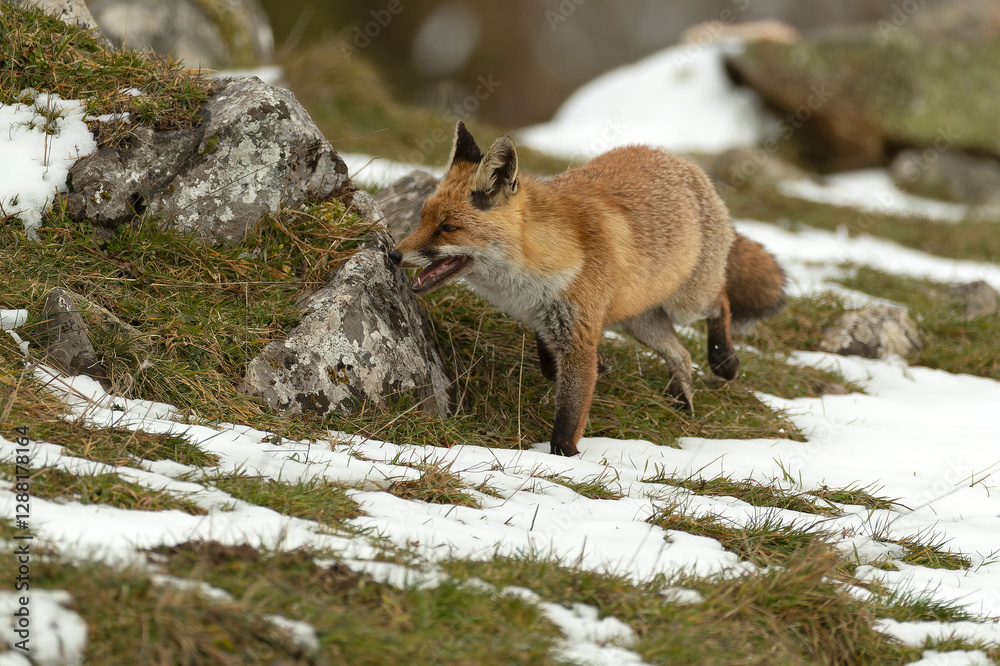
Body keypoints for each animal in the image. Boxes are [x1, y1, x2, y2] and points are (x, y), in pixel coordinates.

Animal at [389, 121, 786, 457]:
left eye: (448, 228)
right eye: (422, 217)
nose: (393, 254)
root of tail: (684, 162)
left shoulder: (577, 336)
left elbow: (569, 414)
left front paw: (565, 456)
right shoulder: (550, 320)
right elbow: (551, 363)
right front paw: (598, 365)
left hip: (688, 302)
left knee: (720, 302)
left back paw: (724, 360)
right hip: (640, 322)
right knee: (680, 353)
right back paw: (681, 403)